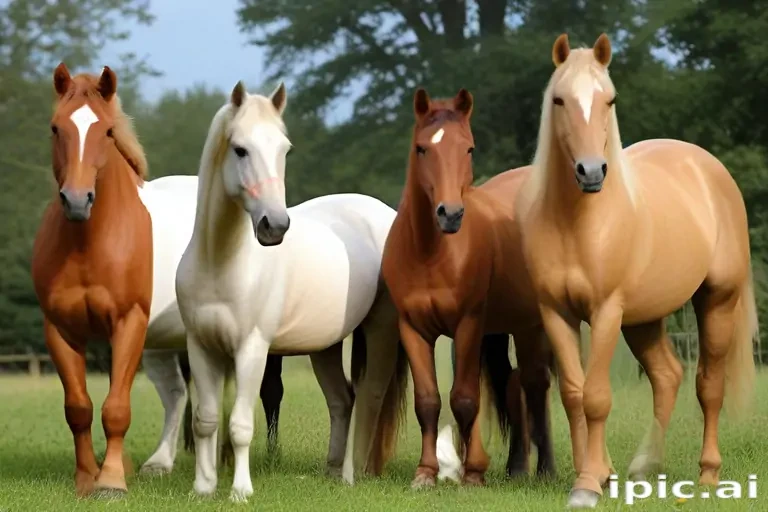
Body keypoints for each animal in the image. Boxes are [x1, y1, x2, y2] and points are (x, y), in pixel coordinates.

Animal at [30, 63, 153, 496]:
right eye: (55, 128)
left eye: (108, 131)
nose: (76, 200)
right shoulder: (61, 329)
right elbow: (79, 408)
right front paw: (87, 479)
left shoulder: (130, 322)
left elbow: (116, 407)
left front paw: (112, 481)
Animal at [174, 80, 408, 502]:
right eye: (240, 149)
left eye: (285, 149)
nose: (275, 226)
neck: (221, 263)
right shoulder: (201, 347)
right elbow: (206, 419)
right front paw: (203, 488)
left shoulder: (252, 349)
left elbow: (240, 425)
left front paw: (240, 492)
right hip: (325, 345)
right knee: (342, 400)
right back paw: (333, 469)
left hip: (381, 328)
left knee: (370, 394)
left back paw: (356, 474)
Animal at [381, 88, 555, 488]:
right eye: (421, 148)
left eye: (469, 149)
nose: (451, 214)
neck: (429, 253)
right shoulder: (413, 329)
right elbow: (428, 401)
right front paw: (427, 473)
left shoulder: (468, 324)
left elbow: (464, 398)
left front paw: (473, 472)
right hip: (504, 329)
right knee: (514, 384)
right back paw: (516, 469)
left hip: (533, 326)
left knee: (537, 384)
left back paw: (546, 470)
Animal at [515, 33, 758, 508]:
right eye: (559, 99)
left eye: (609, 100)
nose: (591, 172)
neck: (579, 223)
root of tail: (707, 166)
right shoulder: (556, 312)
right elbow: (573, 394)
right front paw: (595, 475)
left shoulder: (607, 312)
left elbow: (595, 397)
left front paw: (588, 486)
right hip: (644, 318)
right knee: (667, 376)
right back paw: (646, 467)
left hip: (717, 300)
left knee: (708, 385)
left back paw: (708, 475)